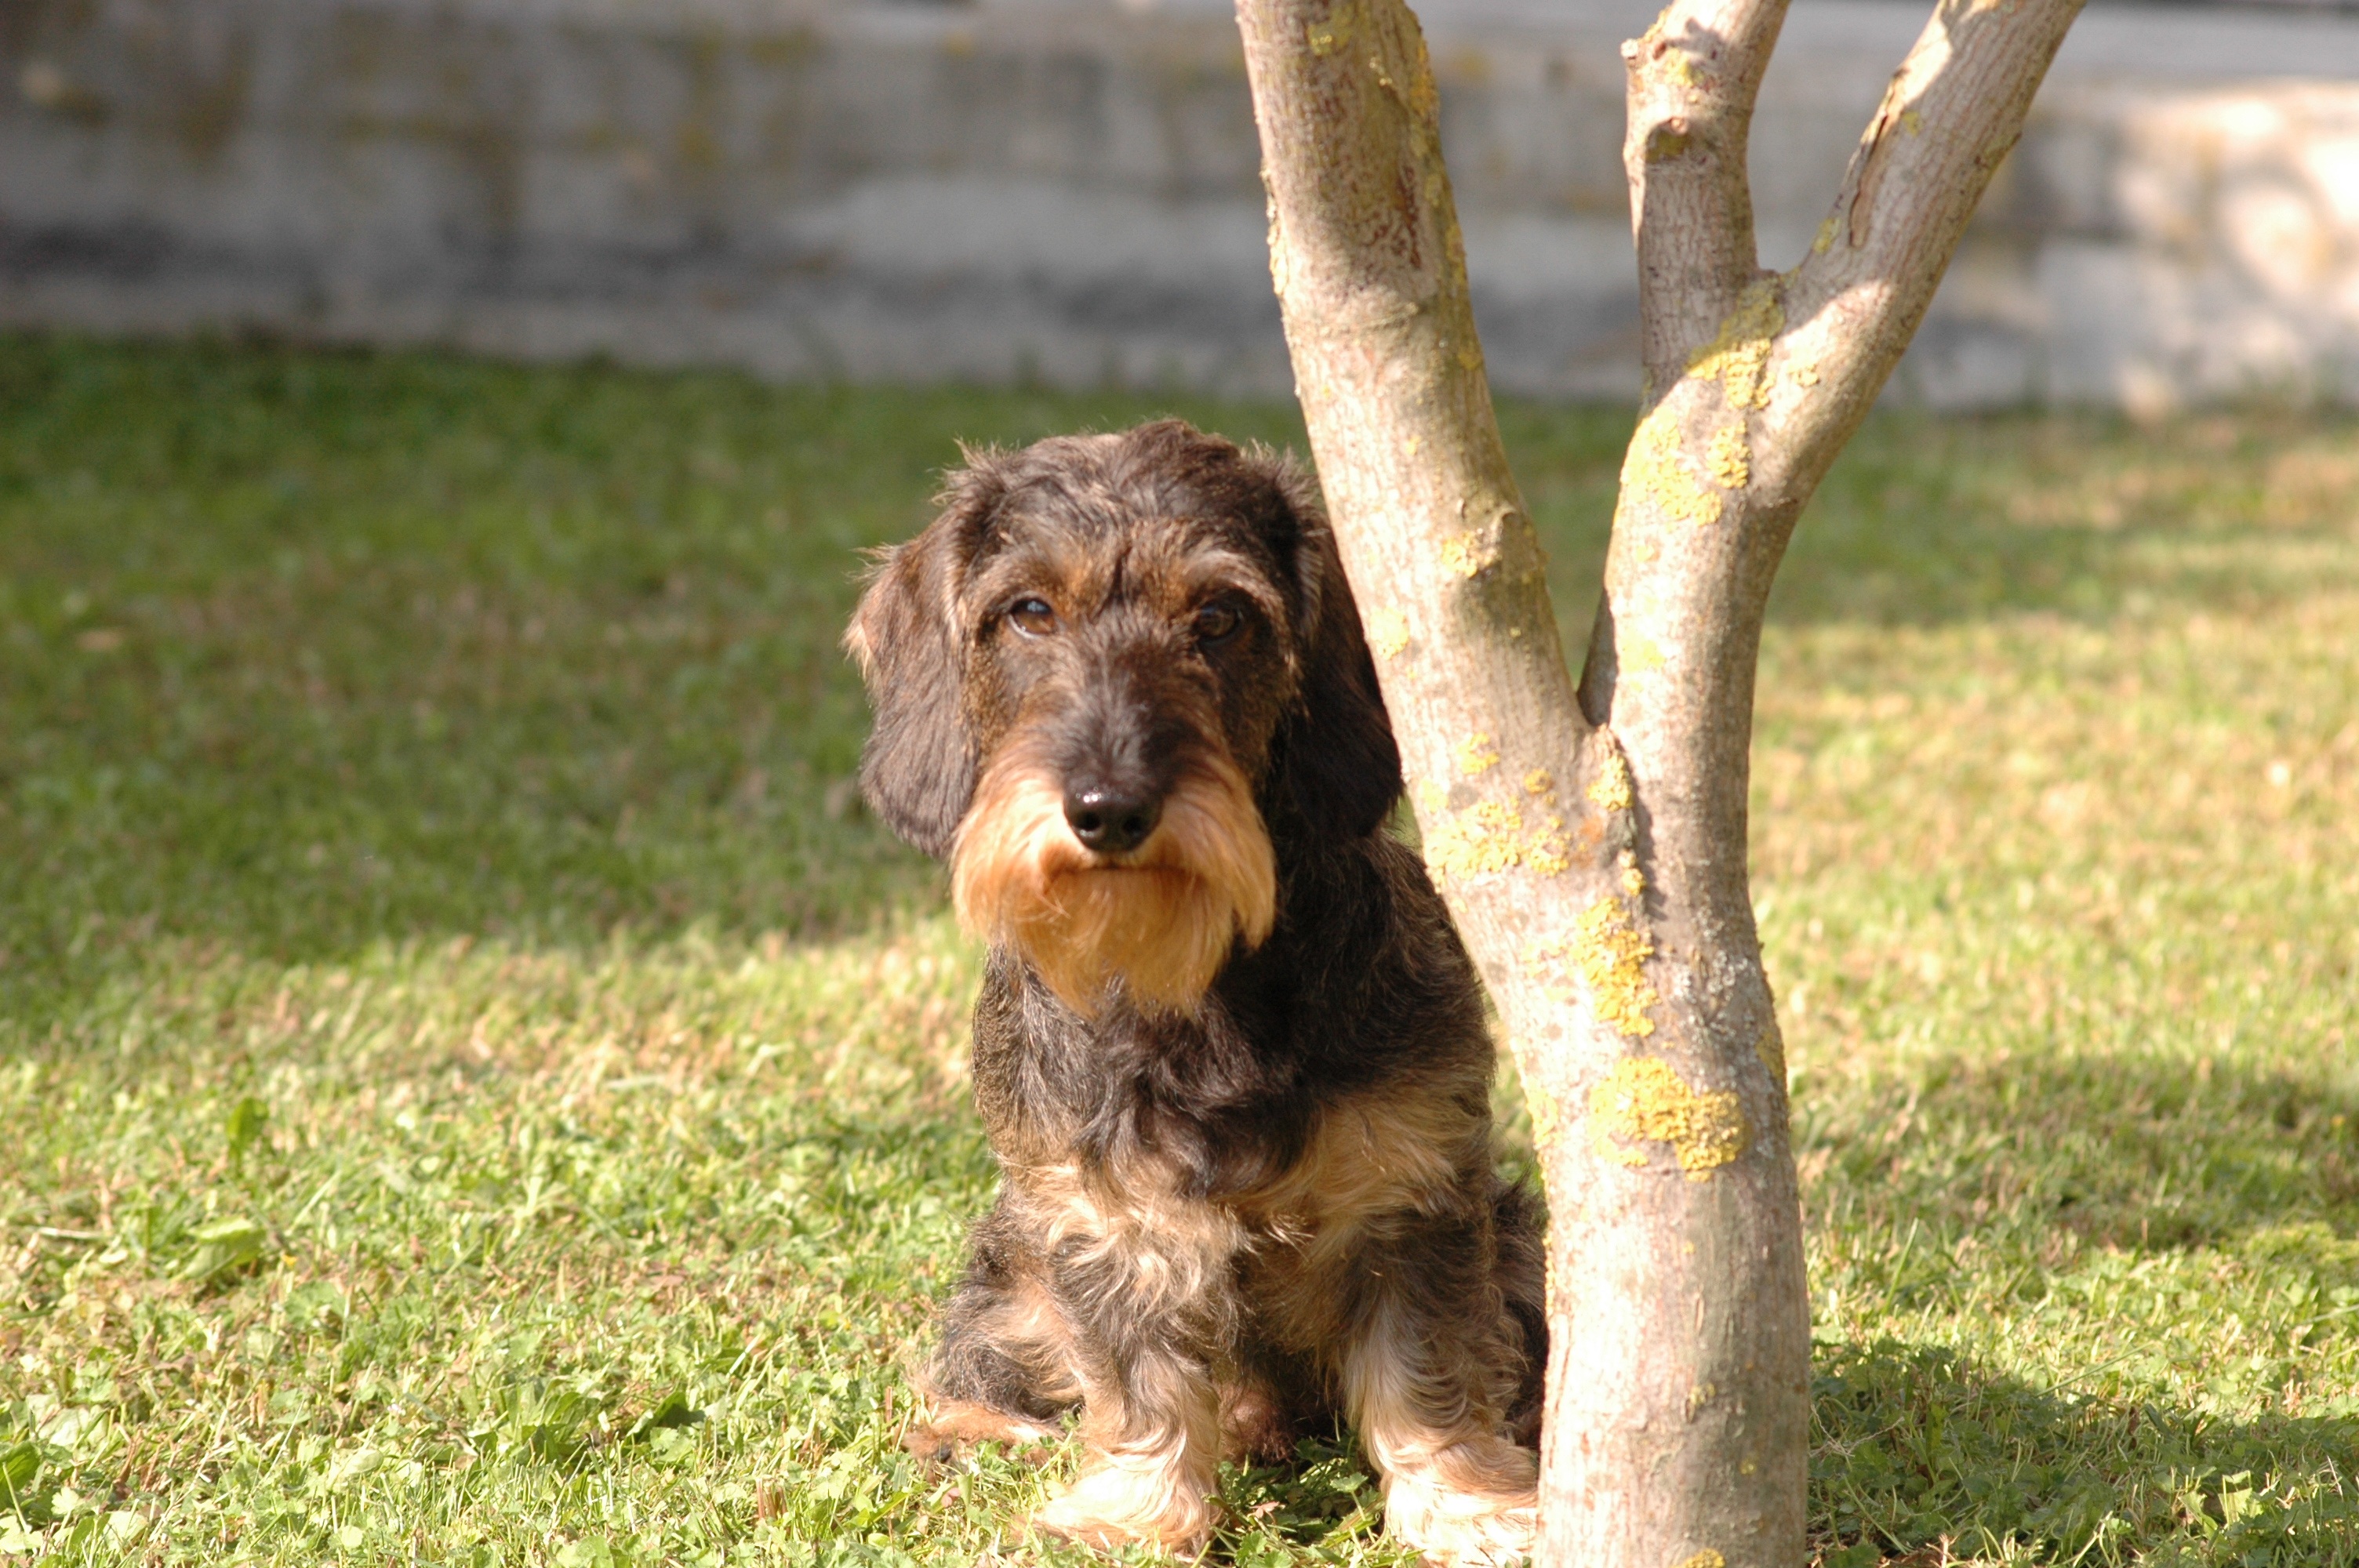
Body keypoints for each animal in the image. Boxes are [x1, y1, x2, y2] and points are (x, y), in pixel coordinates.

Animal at [849, 419, 1547, 1565]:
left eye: (1219, 617)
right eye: (1028, 611)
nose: (1108, 808)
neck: (1185, 982)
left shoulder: (1413, 1200)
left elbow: (1428, 1368)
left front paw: (1471, 1506)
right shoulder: (1097, 1219)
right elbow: (1136, 1383)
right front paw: (1131, 1516)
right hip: (1008, 1270)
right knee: (985, 1362)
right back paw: (970, 1430)